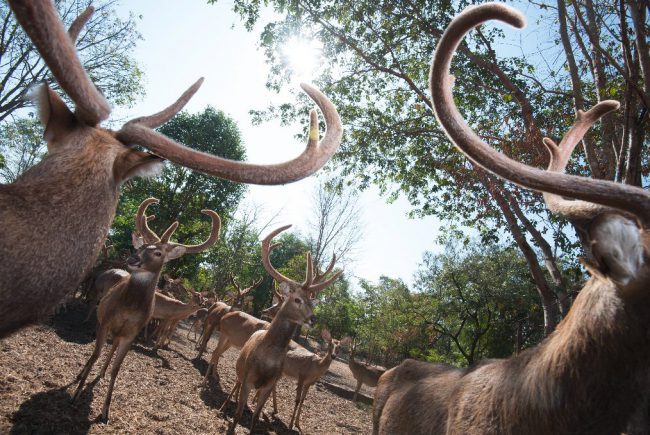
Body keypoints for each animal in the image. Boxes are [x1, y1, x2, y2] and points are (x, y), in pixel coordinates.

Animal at [71, 197, 220, 423]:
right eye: (141, 247)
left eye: (158, 252)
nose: (133, 259)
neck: (129, 309)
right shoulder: (105, 322)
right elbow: (95, 354)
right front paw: (77, 393)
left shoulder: (131, 333)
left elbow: (117, 368)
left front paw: (105, 411)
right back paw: (82, 375)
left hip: (119, 333)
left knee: (111, 351)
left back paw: (101, 374)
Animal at [219, 224, 341, 434]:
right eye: (297, 299)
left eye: (312, 302)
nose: (313, 319)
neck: (268, 359)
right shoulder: (248, 378)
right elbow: (238, 413)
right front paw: (231, 423)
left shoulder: (269, 385)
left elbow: (255, 417)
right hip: (240, 369)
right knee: (234, 382)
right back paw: (223, 407)